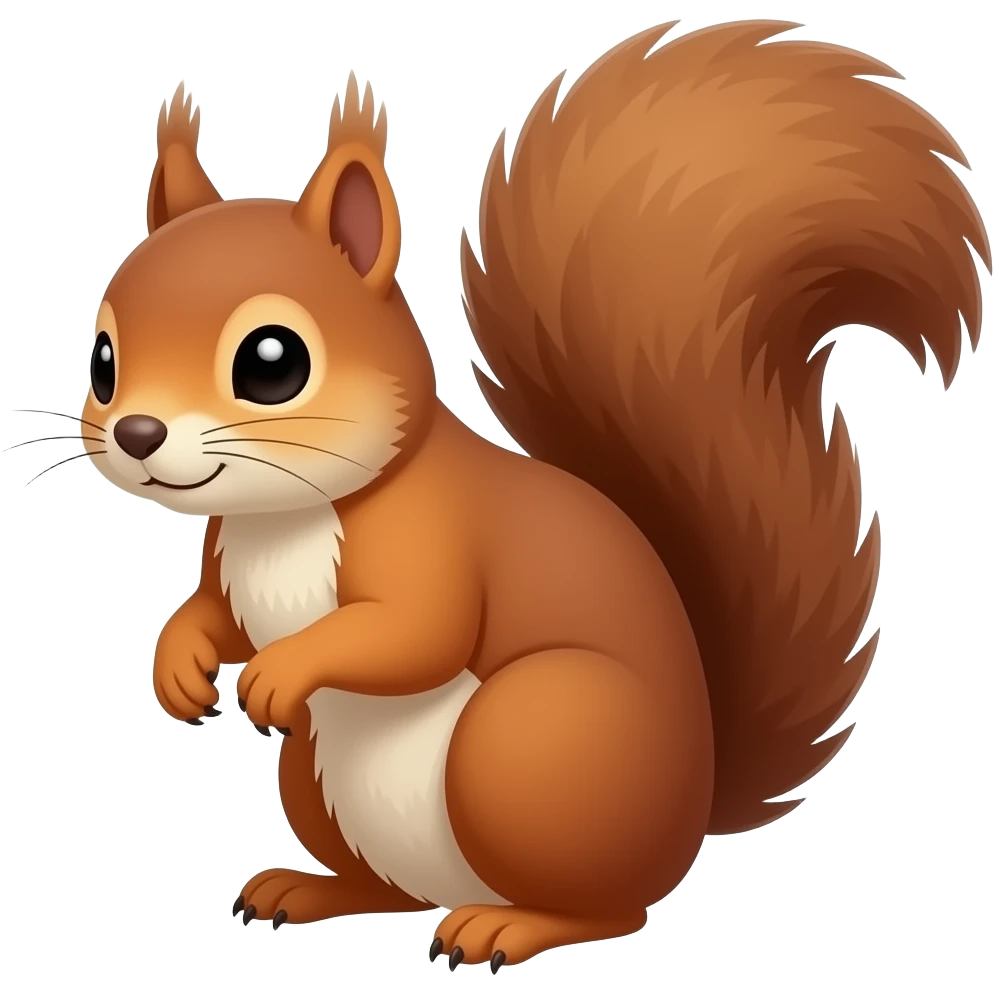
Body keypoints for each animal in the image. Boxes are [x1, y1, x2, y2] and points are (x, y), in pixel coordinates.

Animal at [76, 19, 987, 971]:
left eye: (272, 361)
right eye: (103, 360)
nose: (137, 434)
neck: (285, 517)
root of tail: (690, 813)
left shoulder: (432, 537)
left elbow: (415, 630)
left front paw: (281, 669)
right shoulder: (227, 554)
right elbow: (213, 613)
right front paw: (178, 664)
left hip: (529, 740)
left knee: (610, 906)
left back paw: (508, 927)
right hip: (319, 780)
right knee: (394, 891)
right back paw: (314, 890)